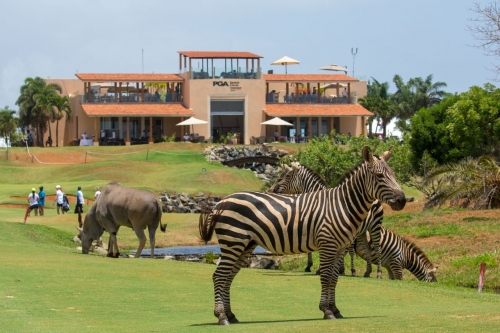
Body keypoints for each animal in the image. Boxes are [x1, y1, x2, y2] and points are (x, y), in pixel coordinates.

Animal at [199, 146, 406, 324]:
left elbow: (334, 278)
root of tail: (221, 202)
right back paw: (221, 316)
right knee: (219, 276)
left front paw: (335, 309)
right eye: (379, 176)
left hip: (244, 244)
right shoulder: (327, 244)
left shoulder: (339, 247)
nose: (402, 200)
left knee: (228, 277)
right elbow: (326, 276)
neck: (343, 205)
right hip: (233, 242)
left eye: (394, 175)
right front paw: (327, 310)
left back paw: (231, 315)